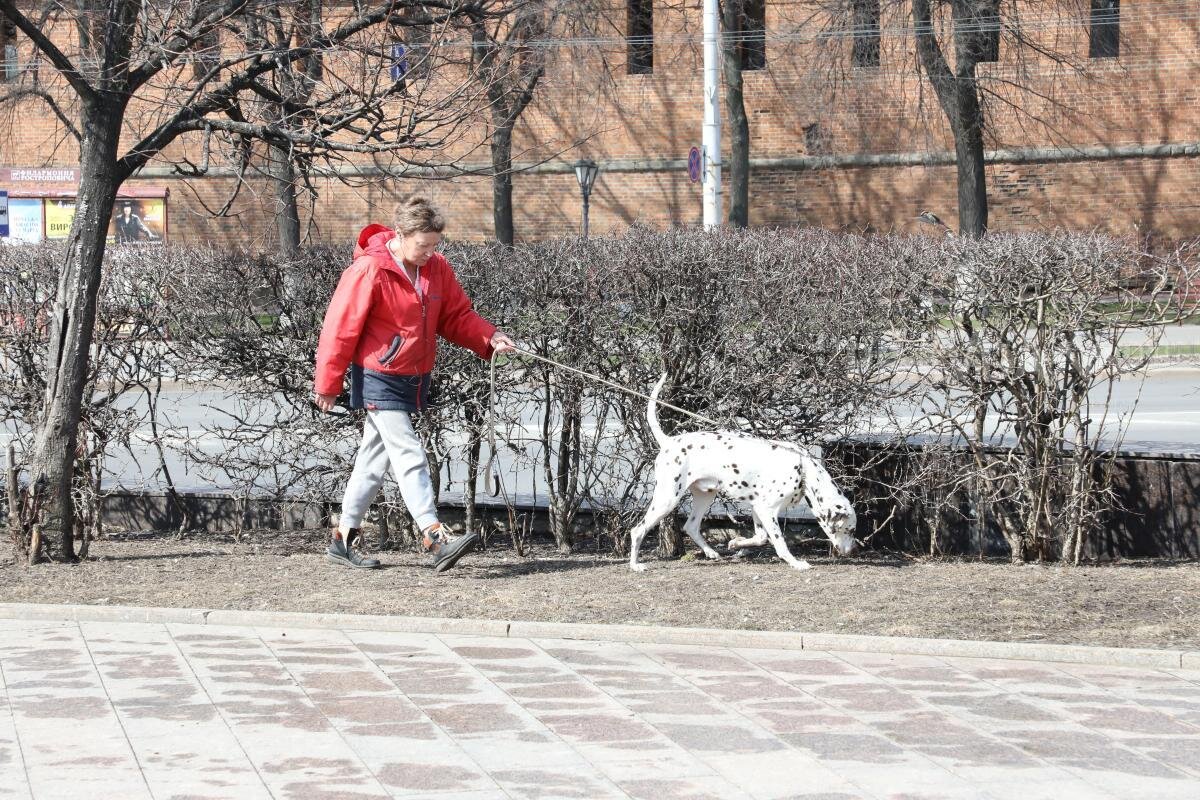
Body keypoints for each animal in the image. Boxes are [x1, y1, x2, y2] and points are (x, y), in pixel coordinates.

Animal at [633, 374, 859, 568]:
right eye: (849, 529)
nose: (852, 551)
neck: (802, 469)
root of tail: (669, 441)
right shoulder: (767, 510)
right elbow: (779, 543)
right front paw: (795, 563)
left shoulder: (758, 508)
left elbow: (760, 538)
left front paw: (736, 543)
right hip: (667, 500)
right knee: (637, 531)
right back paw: (635, 565)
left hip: (705, 496)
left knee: (690, 526)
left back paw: (711, 552)